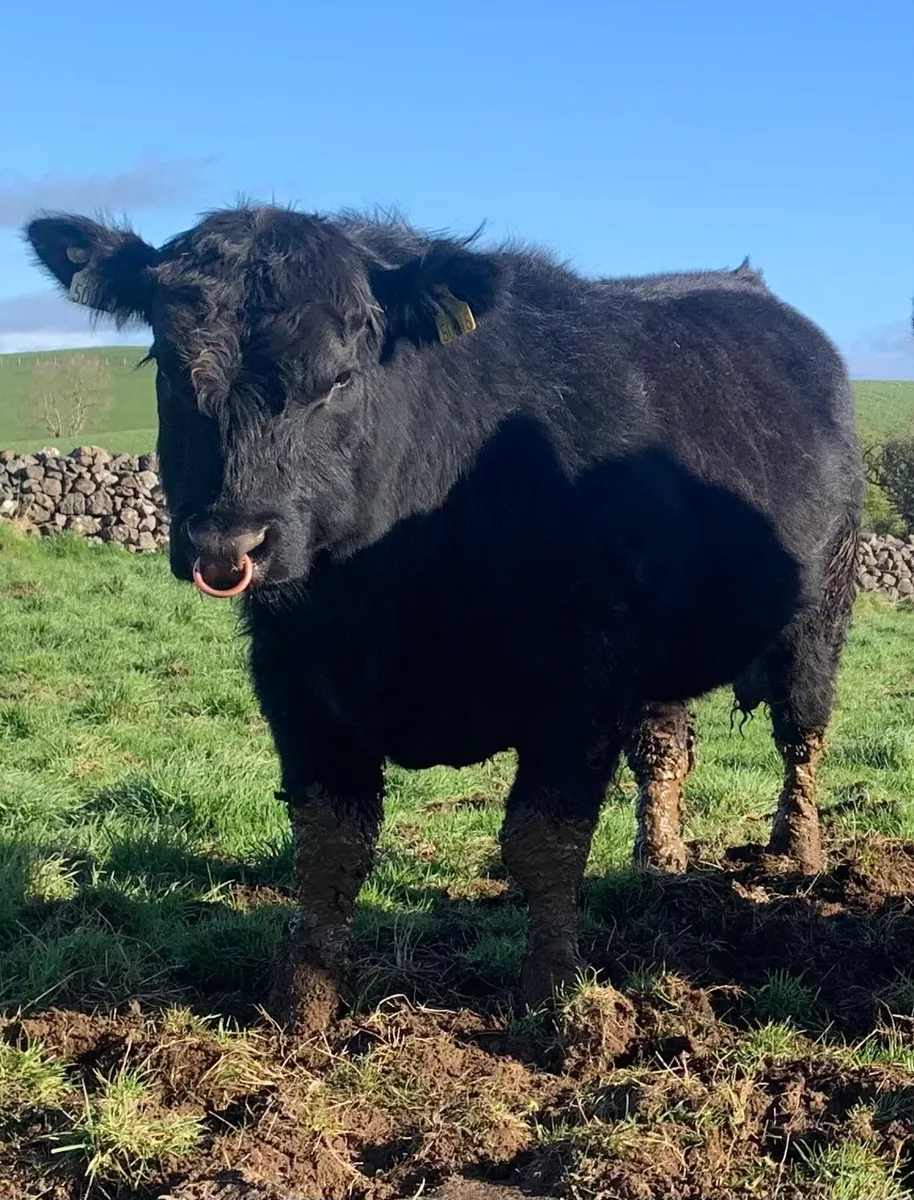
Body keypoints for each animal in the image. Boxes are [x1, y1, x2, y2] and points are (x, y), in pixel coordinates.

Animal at [25, 207, 863, 1033]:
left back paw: (798, 852)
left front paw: (556, 999)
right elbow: (327, 848)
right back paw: (659, 863)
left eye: (340, 379)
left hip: (824, 609)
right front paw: (302, 1006)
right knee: (664, 751)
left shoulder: (580, 690)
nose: (226, 543)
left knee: (802, 737)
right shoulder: (294, 683)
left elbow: (544, 844)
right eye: (169, 367)